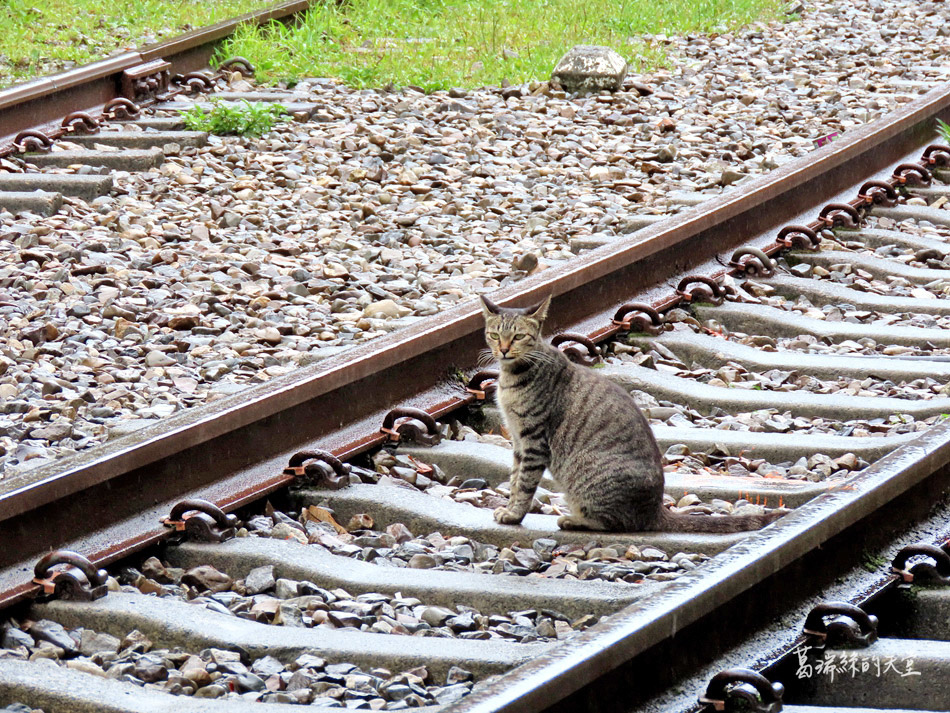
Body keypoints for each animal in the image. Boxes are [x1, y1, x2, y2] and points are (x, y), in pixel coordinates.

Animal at [484, 292, 788, 532]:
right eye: (495, 335)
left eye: (519, 336)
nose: (504, 349)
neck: (511, 377)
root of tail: (656, 510)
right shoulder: (518, 440)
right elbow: (514, 478)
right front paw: (509, 507)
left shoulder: (533, 440)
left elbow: (524, 483)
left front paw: (514, 514)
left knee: (616, 523)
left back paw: (574, 520)